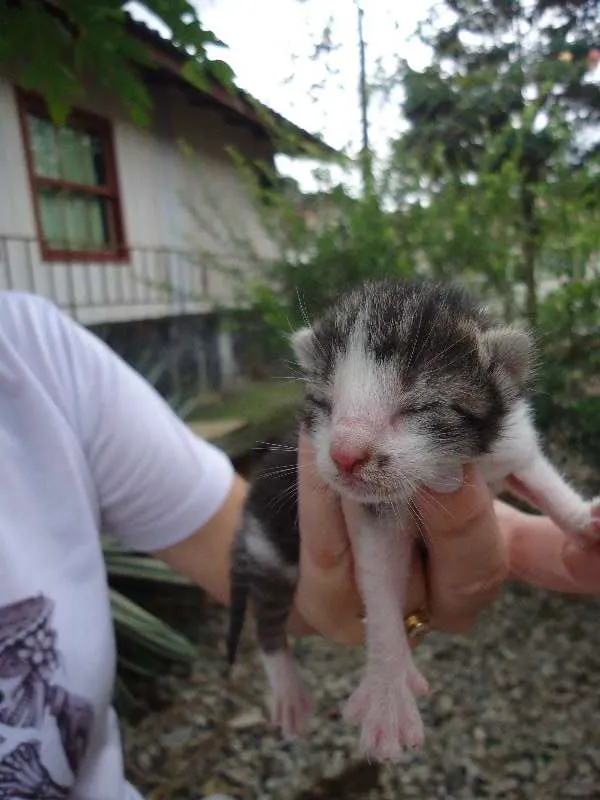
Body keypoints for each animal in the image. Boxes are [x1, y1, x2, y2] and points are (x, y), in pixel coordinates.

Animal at [226, 280, 600, 764]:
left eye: (418, 406)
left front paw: (584, 521)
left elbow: (543, 479)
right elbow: (381, 586)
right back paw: (288, 689)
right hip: (270, 550)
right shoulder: (371, 514)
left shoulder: (512, 442)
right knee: (267, 621)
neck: (449, 465)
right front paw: (387, 690)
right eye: (325, 403)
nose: (344, 455)